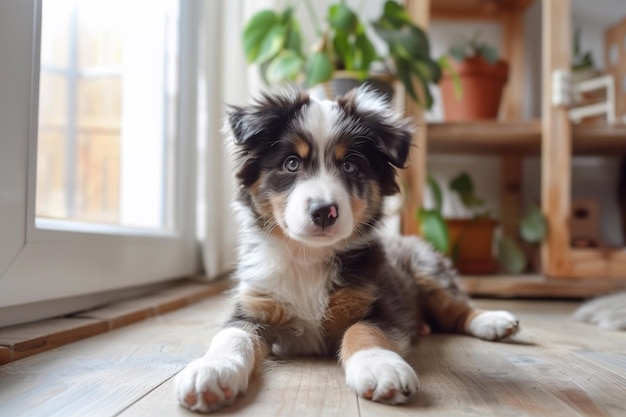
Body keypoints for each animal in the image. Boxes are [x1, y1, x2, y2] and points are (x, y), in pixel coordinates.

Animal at [173, 86, 520, 412]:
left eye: (351, 166)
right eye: (291, 163)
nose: (324, 211)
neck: (307, 257)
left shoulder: (380, 305)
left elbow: (362, 330)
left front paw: (380, 366)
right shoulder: (253, 306)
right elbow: (231, 336)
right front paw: (212, 371)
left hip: (427, 268)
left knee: (456, 309)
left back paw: (494, 322)